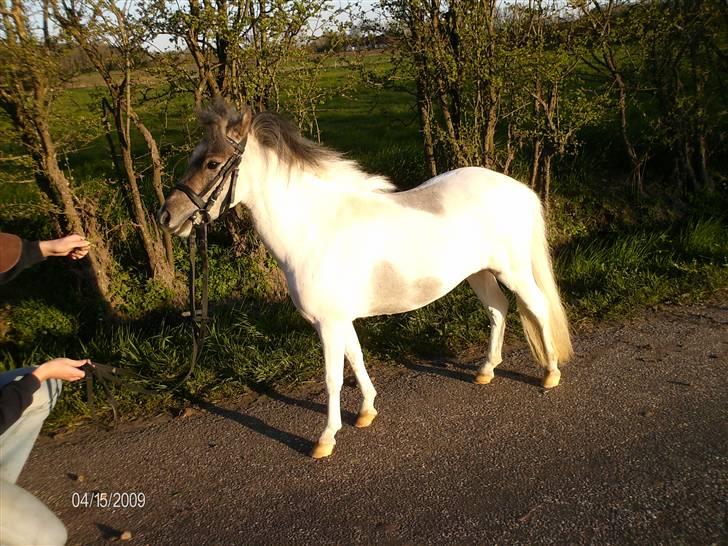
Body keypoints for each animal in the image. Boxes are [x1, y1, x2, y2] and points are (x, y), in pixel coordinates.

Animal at [161, 100, 576, 456]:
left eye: (213, 163)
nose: (167, 216)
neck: (313, 229)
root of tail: (517, 188)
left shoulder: (328, 324)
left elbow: (333, 377)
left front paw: (325, 439)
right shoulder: (339, 320)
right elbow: (357, 357)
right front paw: (366, 412)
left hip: (513, 271)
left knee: (537, 307)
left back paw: (550, 374)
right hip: (479, 274)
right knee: (498, 311)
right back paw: (486, 371)